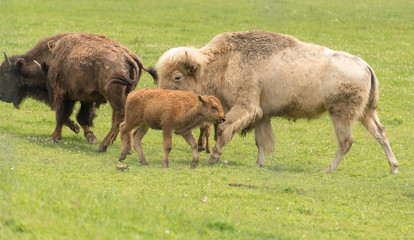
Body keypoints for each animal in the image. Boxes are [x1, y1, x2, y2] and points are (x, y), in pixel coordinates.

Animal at [0, 32, 156, 151]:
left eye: (6, 75)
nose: (2, 96)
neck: (51, 57)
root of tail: (129, 57)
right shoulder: (85, 98)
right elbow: (79, 117)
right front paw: (88, 135)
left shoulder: (60, 94)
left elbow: (61, 115)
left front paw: (54, 137)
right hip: (127, 93)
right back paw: (125, 146)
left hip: (114, 96)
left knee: (118, 115)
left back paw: (104, 146)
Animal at [154, 30, 400, 173]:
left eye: (177, 77)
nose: (163, 96)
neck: (225, 62)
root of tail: (365, 65)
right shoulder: (261, 113)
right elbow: (260, 140)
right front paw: (260, 164)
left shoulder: (245, 106)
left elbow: (224, 130)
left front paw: (213, 157)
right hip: (366, 113)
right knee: (381, 133)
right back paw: (394, 167)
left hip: (341, 115)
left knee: (346, 141)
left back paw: (328, 170)